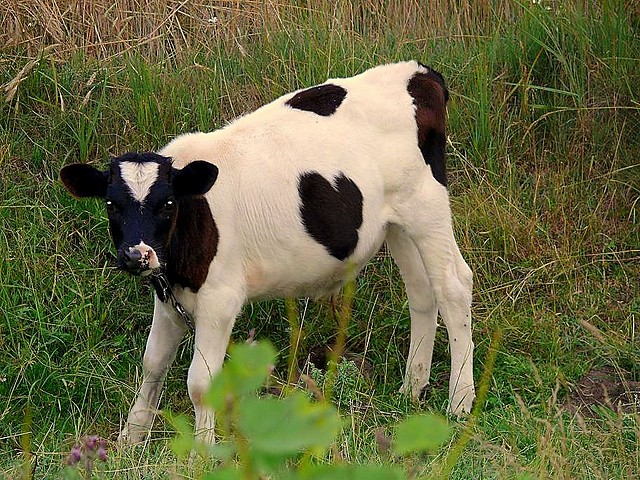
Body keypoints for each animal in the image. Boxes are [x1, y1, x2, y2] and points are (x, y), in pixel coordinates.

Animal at [61, 62, 476, 444]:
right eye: (112, 204)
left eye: (166, 203)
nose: (137, 255)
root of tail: (418, 73)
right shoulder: (168, 298)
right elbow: (152, 364)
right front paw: (130, 440)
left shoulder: (220, 299)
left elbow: (201, 382)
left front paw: (201, 453)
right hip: (396, 224)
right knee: (422, 292)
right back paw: (412, 388)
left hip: (426, 206)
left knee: (453, 286)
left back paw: (459, 402)